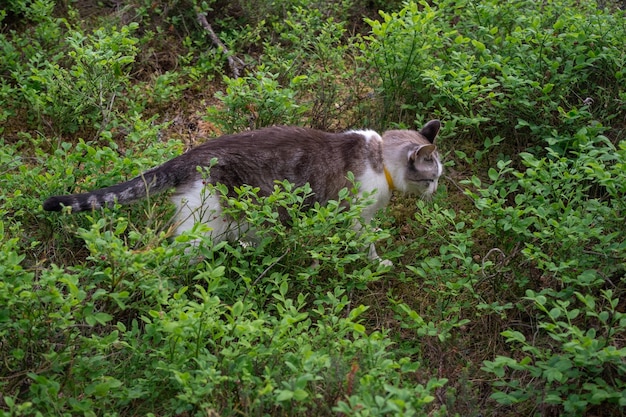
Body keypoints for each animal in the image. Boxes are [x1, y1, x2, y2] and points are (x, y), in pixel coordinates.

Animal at [44, 120, 442, 264]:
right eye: (432, 176)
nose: (437, 190)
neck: (379, 158)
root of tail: (189, 155)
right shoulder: (356, 218)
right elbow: (367, 245)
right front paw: (377, 263)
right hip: (207, 223)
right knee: (169, 258)